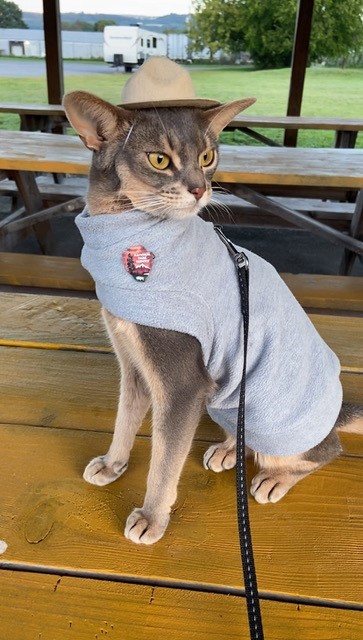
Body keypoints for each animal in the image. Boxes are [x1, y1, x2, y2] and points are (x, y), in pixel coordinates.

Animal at [64, 85, 362, 544]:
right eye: (159, 159)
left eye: (208, 157)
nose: (200, 189)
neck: (127, 237)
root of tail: (334, 415)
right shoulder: (134, 362)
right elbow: (124, 419)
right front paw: (113, 464)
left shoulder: (181, 381)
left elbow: (165, 458)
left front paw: (152, 517)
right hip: (224, 399)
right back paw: (227, 450)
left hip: (264, 416)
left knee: (326, 451)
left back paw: (275, 478)